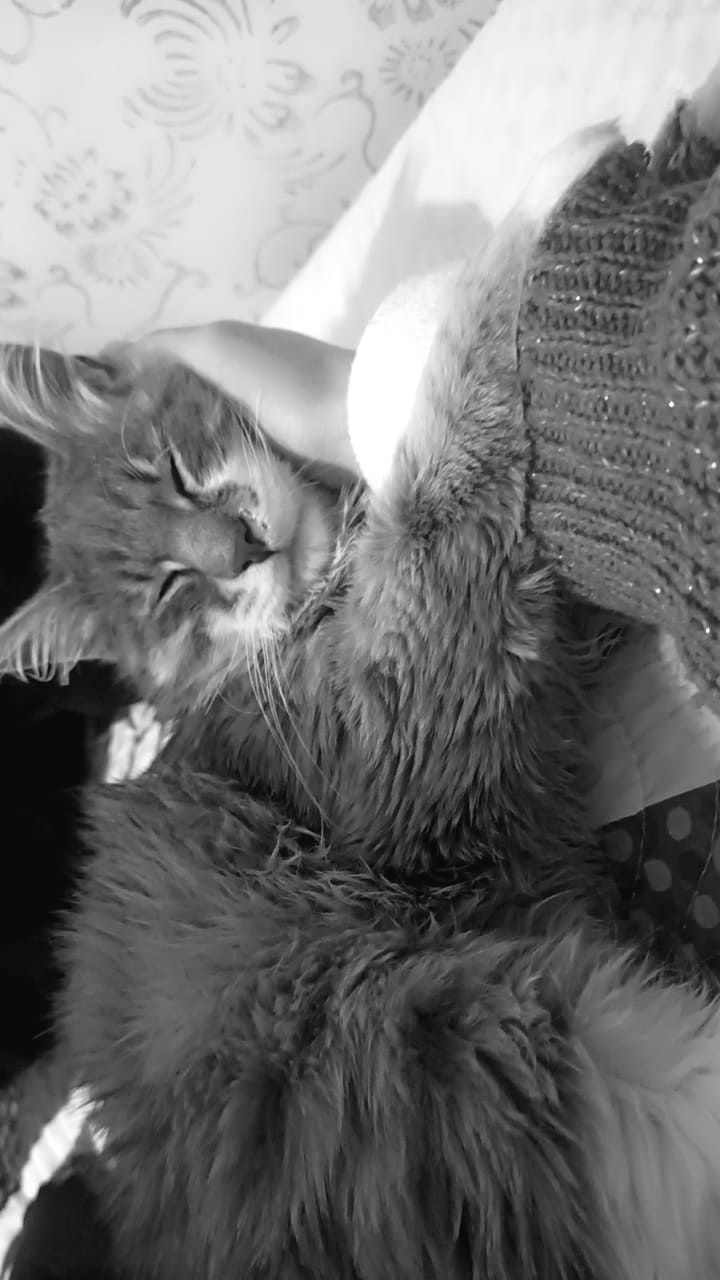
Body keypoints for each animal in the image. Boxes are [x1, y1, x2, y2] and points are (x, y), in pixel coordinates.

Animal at [2, 124, 720, 1280]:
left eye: (174, 471)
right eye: (170, 591)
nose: (240, 548)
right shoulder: (401, 708)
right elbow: (429, 412)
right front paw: (549, 195)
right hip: (559, 1061)